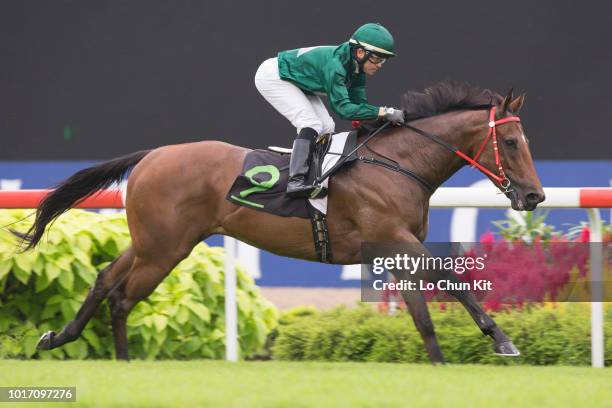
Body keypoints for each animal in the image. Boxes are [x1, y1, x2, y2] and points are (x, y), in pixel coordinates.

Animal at [17, 81, 544, 362]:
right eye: (511, 142)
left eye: (524, 141)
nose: (535, 195)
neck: (397, 163)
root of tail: (152, 155)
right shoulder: (392, 237)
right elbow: (453, 280)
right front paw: (503, 340)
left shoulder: (394, 249)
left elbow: (423, 316)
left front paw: (439, 365)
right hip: (165, 249)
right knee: (123, 296)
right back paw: (125, 364)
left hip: (152, 242)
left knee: (106, 280)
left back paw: (59, 337)